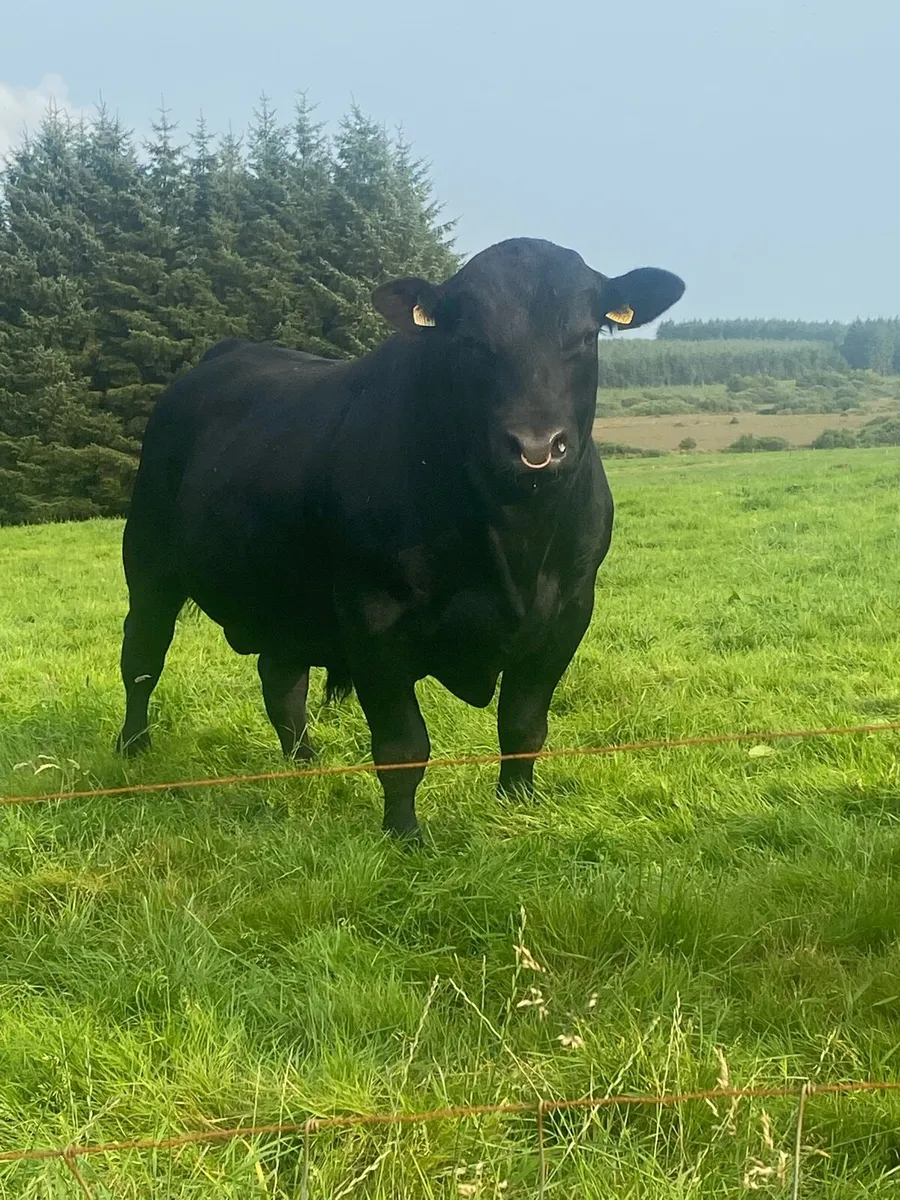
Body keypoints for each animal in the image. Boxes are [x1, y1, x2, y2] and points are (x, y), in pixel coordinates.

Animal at [116, 238, 684, 839]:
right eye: (469, 339)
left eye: (585, 335)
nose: (536, 446)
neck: (513, 539)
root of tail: (225, 353)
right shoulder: (373, 613)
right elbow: (402, 743)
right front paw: (404, 835)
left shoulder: (569, 609)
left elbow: (524, 724)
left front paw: (518, 806)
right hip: (148, 560)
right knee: (142, 657)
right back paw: (132, 749)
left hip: (284, 593)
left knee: (280, 678)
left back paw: (304, 763)